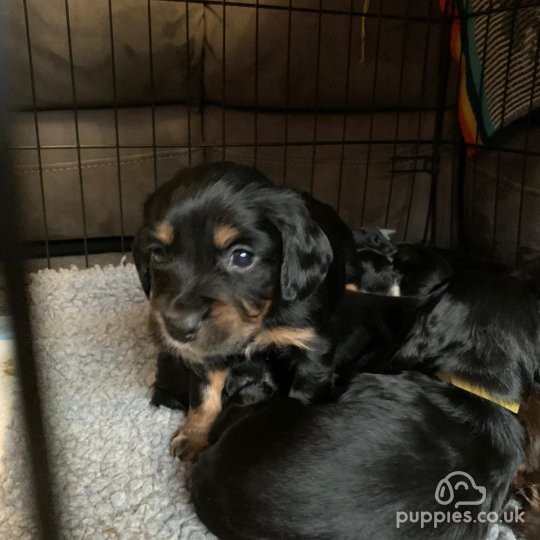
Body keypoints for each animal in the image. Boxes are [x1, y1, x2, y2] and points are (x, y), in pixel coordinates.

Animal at [133, 160, 356, 460]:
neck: (260, 319)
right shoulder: (208, 348)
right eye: (158, 253)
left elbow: (303, 394)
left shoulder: (312, 347)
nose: (178, 327)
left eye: (242, 257)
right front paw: (194, 436)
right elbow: (204, 394)